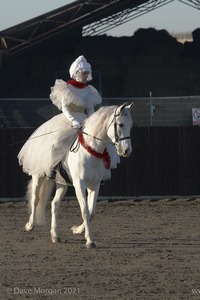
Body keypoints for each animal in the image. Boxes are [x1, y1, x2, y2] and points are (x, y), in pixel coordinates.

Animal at [23, 103, 133, 248]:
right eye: (120, 124)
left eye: (130, 126)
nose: (127, 151)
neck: (91, 151)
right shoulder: (79, 184)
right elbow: (85, 211)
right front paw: (90, 241)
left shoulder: (94, 185)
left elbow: (91, 212)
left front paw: (77, 230)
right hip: (38, 175)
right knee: (35, 199)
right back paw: (30, 225)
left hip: (62, 182)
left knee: (55, 204)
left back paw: (55, 236)